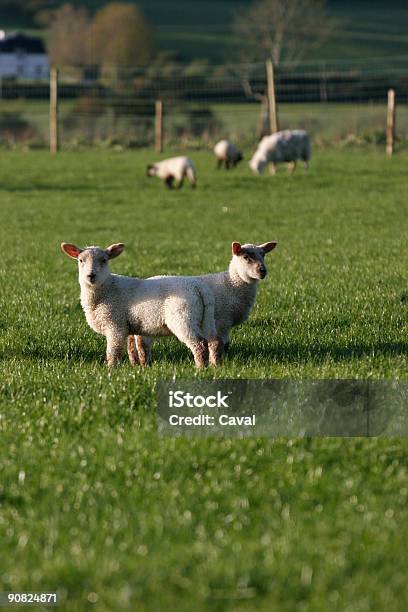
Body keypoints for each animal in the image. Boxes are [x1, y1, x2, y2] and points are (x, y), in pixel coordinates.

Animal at [60, 243, 217, 368]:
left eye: (104, 260)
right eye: (80, 260)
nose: (91, 275)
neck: (107, 289)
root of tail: (198, 287)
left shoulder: (115, 325)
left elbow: (113, 351)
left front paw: (111, 370)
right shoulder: (130, 326)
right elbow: (134, 349)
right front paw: (138, 367)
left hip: (183, 318)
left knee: (199, 344)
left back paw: (200, 368)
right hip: (205, 319)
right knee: (213, 341)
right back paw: (213, 366)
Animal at [131, 239, 278, 366]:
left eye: (263, 255)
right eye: (246, 257)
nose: (263, 271)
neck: (231, 284)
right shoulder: (223, 321)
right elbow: (221, 344)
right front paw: (218, 363)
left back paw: (136, 364)